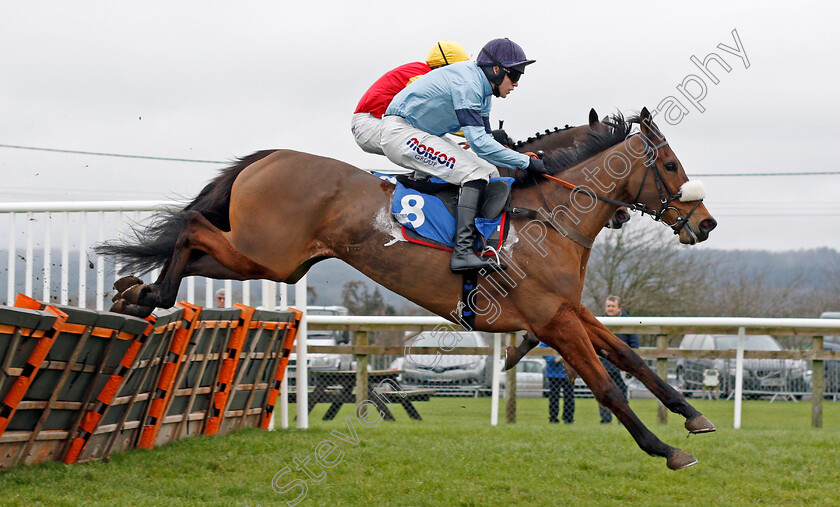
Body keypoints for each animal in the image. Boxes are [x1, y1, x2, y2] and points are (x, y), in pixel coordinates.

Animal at [98, 107, 716, 472]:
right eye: (669, 164)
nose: (705, 223)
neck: (547, 214)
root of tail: (270, 156)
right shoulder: (551, 321)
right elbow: (609, 388)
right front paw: (666, 449)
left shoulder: (569, 311)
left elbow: (634, 361)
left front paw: (691, 415)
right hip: (263, 252)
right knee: (191, 227)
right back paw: (145, 294)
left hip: (277, 264)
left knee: (195, 239)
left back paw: (136, 293)